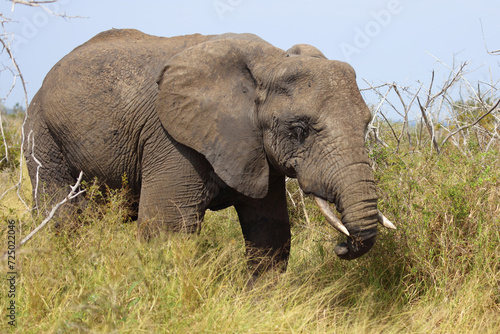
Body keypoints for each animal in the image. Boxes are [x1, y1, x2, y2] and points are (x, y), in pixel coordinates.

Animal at [24, 28, 394, 272]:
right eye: (299, 130)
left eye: (367, 124)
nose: (340, 246)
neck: (270, 62)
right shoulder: (171, 138)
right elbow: (168, 232)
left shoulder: (255, 147)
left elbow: (271, 234)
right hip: (41, 135)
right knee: (63, 219)